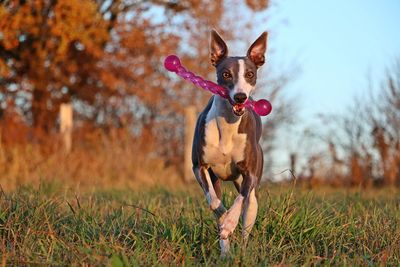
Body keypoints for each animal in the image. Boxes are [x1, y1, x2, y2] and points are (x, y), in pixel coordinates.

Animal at [192, 29, 268, 255]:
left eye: (250, 74)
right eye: (226, 74)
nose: (241, 97)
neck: (227, 125)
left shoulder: (250, 174)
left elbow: (239, 200)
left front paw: (230, 221)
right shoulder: (199, 167)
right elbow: (214, 202)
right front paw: (223, 221)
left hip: (252, 195)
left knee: (247, 216)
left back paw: (241, 249)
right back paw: (225, 252)